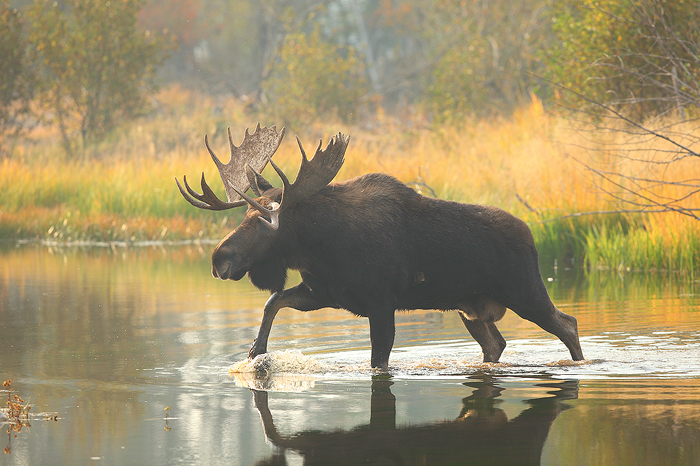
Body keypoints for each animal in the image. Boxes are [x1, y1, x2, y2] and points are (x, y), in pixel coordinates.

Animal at [176, 124, 584, 370]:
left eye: (264, 221)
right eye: (245, 213)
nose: (218, 259)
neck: (320, 246)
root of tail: (531, 236)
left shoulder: (381, 300)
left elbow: (378, 360)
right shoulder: (323, 292)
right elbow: (272, 302)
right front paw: (256, 351)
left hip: (525, 291)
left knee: (568, 323)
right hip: (470, 308)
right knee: (495, 345)